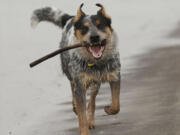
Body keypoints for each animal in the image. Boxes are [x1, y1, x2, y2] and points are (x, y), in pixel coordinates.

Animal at [31, 3, 121, 135]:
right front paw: (84, 130)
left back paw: (91, 120)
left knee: (92, 101)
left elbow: (116, 105)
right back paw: (75, 107)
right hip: (69, 70)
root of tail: (71, 18)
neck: (97, 63)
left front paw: (108, 109)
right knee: (72, 87)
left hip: (95, 83)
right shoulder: (80, 83)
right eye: (84, 28)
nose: (94, 37)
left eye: (100, 25)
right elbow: (81, 115)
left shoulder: (115, 76)